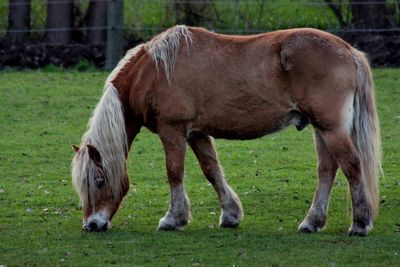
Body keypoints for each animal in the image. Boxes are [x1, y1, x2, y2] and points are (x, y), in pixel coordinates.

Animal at [71, 26, 382, 237]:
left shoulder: (172, 130)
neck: (154, 70)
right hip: (321, 129)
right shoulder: (196, 133)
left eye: (98, 181)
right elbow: (212, 170)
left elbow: (174, 172)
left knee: (352, 166)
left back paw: (360, 223)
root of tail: (348, 50)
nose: (92, 224)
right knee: (327, 170)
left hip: (331, 129)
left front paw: (172, 219)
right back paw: (312, 222)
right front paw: (230, 215)